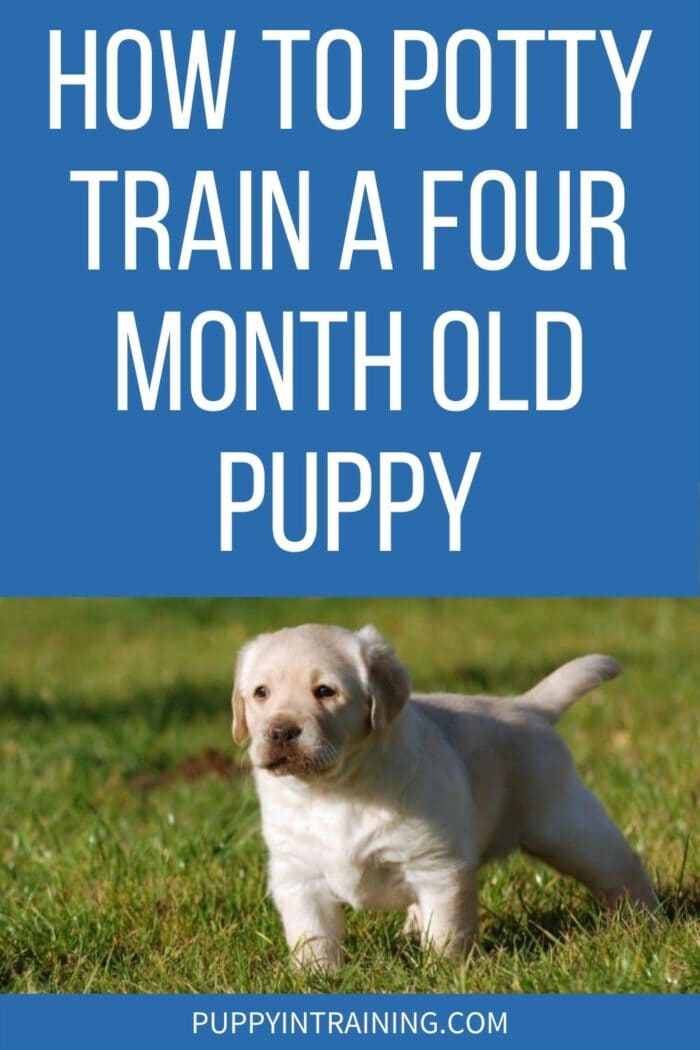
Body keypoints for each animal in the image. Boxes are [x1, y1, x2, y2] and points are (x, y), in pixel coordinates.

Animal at [230, 621, 659, 965]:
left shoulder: (437, 865)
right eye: (261, 693)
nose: (281, 731)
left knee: (620, 866)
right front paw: (316, 976)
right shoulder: (297, 873)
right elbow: (312, 934)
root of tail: (528, 707)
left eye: (325, 691)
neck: (336, 789)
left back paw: (644, 920)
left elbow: (446, 930)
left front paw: (444, 972)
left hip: (566, 827)